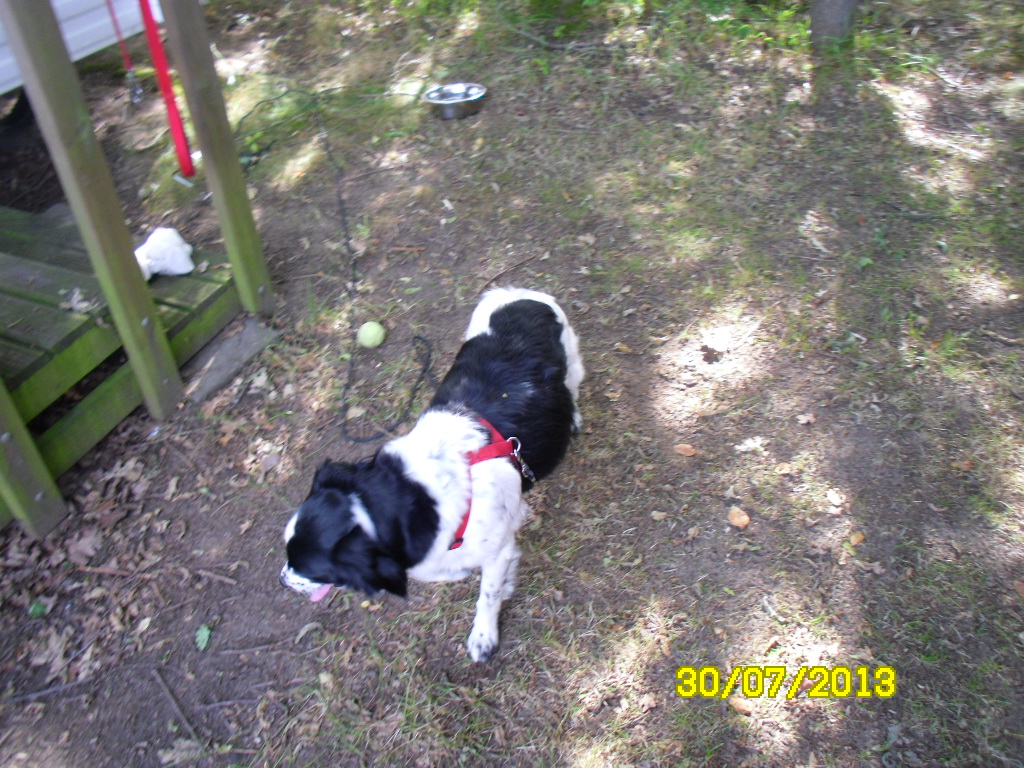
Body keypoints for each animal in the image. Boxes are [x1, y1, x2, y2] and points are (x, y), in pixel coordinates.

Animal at [280, 287, 583, 661]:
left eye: (309, 567)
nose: (282, 580)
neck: (419, 492)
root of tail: (521, 293)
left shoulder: (496, 550)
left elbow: (488, 595)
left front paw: (484, 636)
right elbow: (442, 570)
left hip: (572, 361)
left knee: (574, 388)